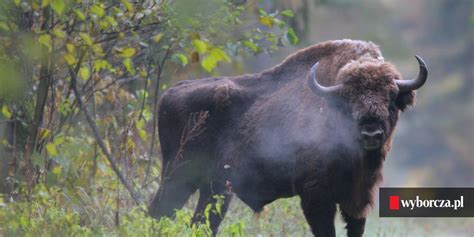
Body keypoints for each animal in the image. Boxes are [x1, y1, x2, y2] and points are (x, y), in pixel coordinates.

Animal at [150, 39, 428, 236]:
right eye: (350, 99)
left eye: (391, 97)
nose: (371, 133)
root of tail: (170, 94)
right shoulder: (316, 196)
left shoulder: (358, 199)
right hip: (178, 177)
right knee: (160, 211)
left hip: (214, 188)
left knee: (202, 221)